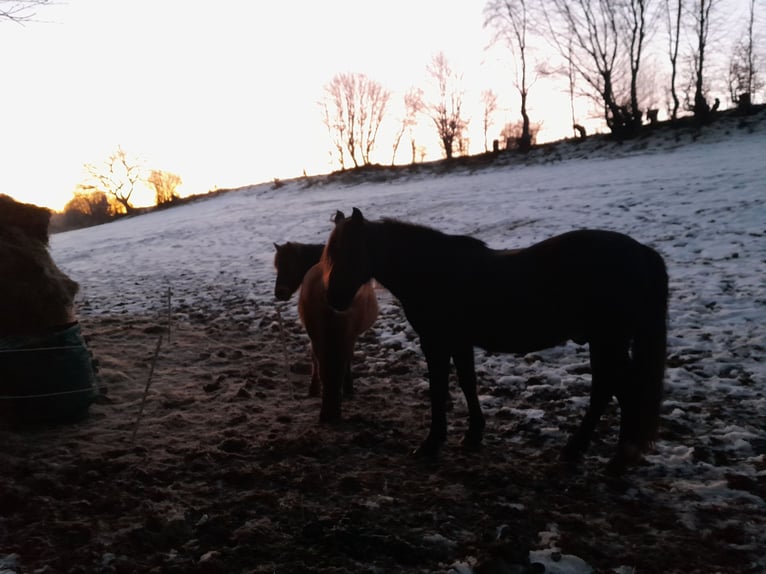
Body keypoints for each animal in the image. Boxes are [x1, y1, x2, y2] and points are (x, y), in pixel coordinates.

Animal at [320, 207, 668, 472]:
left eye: (351, 251)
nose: (333, 298)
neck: (432, 270)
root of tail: (642, 252)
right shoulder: (459, 342)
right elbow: (467, 383)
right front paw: (473, 434)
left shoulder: (436, 342)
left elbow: (438, 388)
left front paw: (431, 443)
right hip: (607, 343)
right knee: (612, 390)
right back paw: (593, 453)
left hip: (608, 341)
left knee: (615, 390)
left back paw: (612, 458)